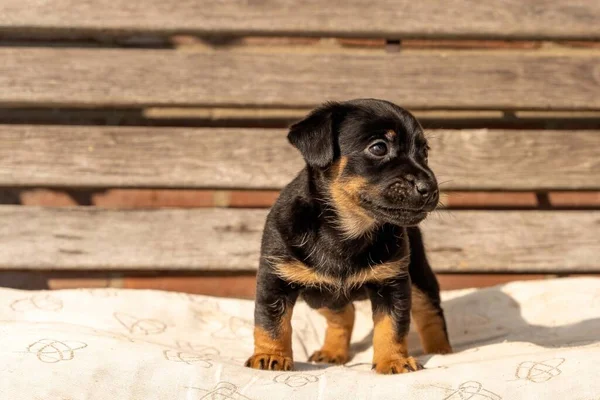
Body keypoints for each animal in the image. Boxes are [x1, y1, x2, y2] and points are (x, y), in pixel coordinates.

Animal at [244, 98, 450, 374]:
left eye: (425, 153)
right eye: (379, 148)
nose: (430, 188)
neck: (348, 230)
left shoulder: (393, 283)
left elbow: (392, 327)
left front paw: (392, 360)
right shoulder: (274, 280)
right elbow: (271, 322)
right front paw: (270, 355)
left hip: (417, 275)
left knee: (430, 311)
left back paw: (441, 350)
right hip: (320, 297)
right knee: (344, 313)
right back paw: (333, 352)